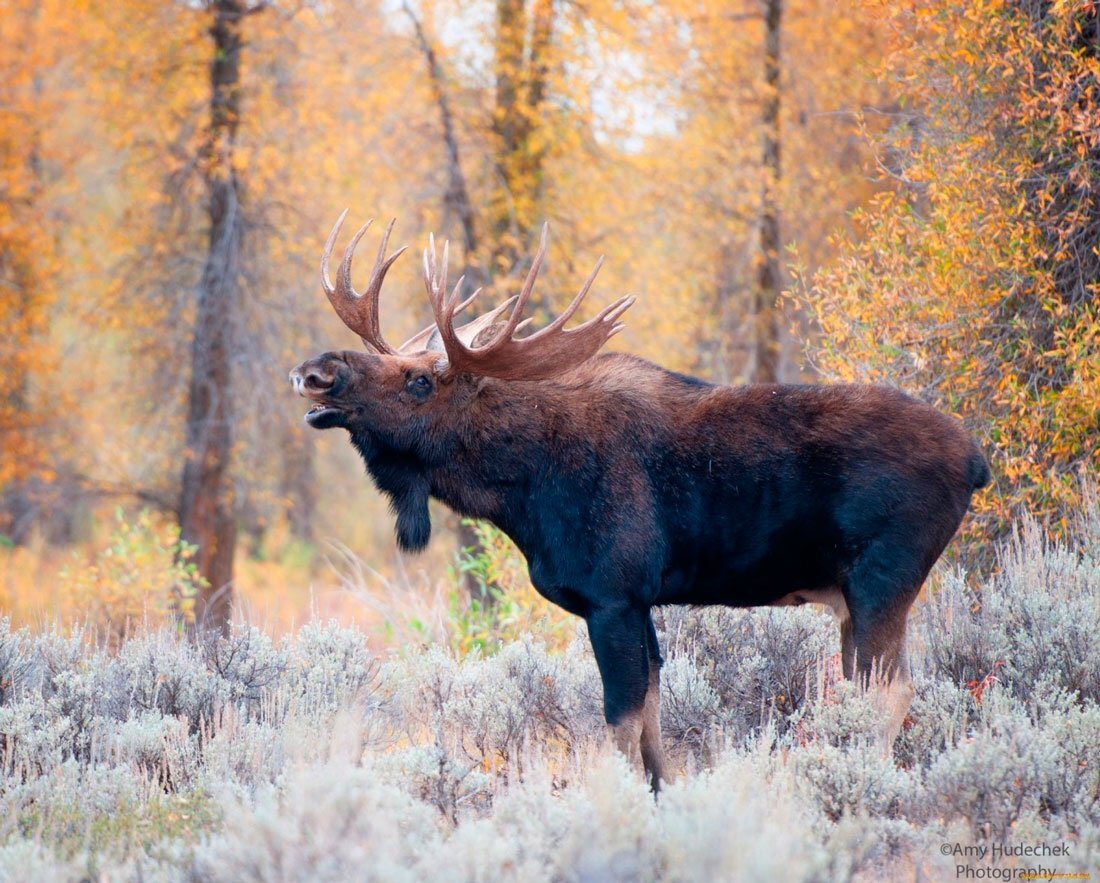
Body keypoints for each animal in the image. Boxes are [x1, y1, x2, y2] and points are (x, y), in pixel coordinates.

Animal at [290, 215, 990, 796]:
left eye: (419, 381)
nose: (316, 371)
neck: (523, 491)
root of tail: (977, 461)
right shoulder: (639, 603)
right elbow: (653, 728)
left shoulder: (614, 595)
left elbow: (621, 728)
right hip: (853, 596)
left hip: (882, 580)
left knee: (889, 692)